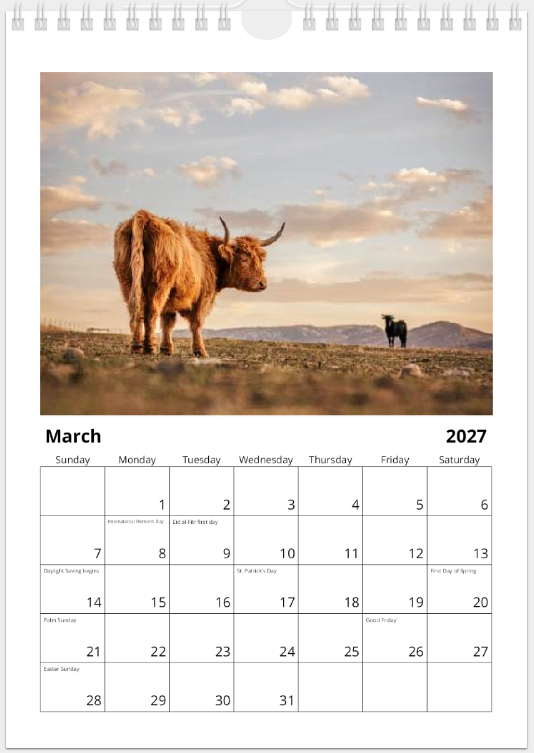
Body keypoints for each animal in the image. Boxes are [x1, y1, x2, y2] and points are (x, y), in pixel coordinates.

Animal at [113, 210, 285, 357]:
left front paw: (167, 349)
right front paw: (200, 351)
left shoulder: (171, 299)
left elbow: (168, 323)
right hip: (159, 283)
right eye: (244, 259)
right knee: (151, 310)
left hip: (128, 281)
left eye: (260, 259)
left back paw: (136, 346)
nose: (263, 283)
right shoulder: (203, 297)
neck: (212, 256)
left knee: (136, 309)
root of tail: (145, 215)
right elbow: (196, 323)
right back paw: (149, 348)